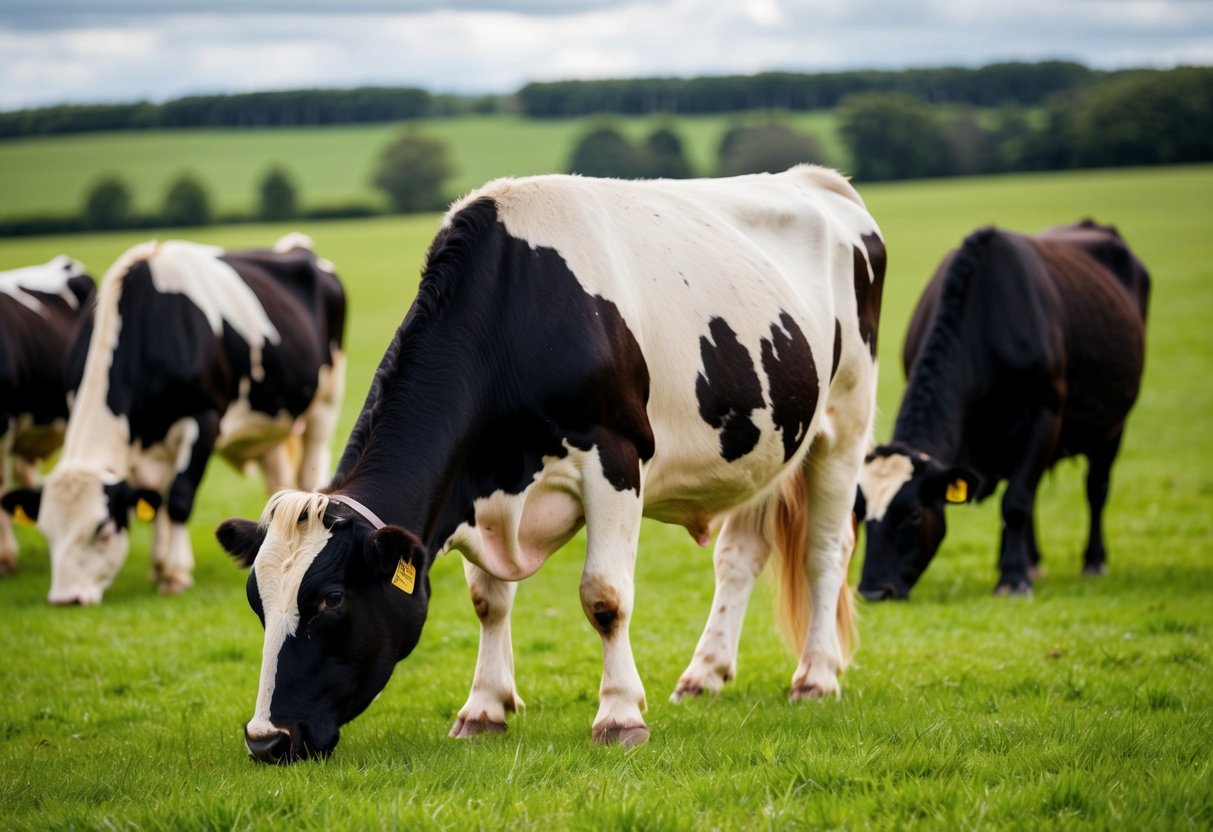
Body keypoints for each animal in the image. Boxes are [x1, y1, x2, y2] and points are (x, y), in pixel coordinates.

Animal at [215, 166, 883, 766]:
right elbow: (489, 600)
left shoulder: (615, 457)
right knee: (739, 557)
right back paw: (705, 674)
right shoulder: (478, 489)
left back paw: (816, 677)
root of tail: (820, 179)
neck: (513, 310)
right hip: (764, 448)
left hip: (845, 423)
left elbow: (605, 596)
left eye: (329, 600)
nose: (265, 739)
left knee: (825, 552)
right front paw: (483, 708)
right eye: (255, 600)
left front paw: (620, 716)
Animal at [853, 219, 1145, 599]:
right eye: (860, 512)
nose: (873, 591)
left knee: (1095, 487)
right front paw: (1016, 565)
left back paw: (1092, 560)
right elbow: (1020, 497)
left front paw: (1013, 577)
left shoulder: (1044, 415)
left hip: (1112, 423)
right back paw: (1033, 560)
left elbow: (1016, 501)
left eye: (914, 514)